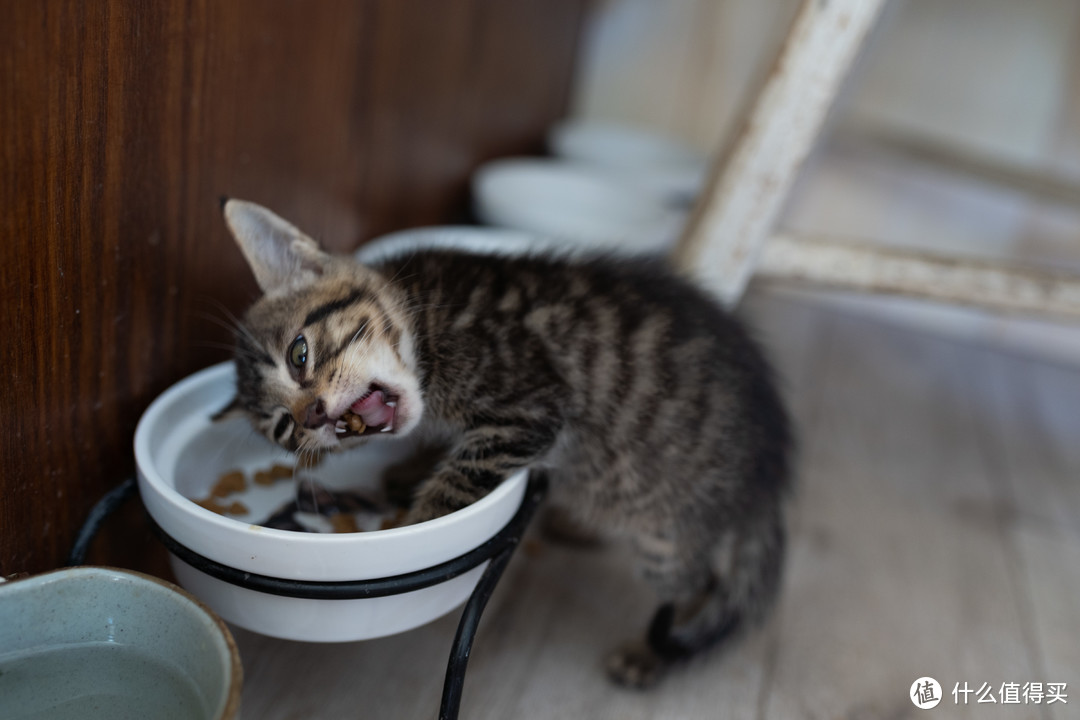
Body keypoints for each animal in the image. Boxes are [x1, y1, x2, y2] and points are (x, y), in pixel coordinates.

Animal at [221, 197, 794, 686]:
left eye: (299, 355)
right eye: (284, 427)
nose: (313, 415)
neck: (423, 319)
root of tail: (768, 477)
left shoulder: (528, 410)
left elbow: (451, 488)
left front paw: (409, 525)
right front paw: (403, 473)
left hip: (666, 538)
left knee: (696, 585)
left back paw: (649, 653)